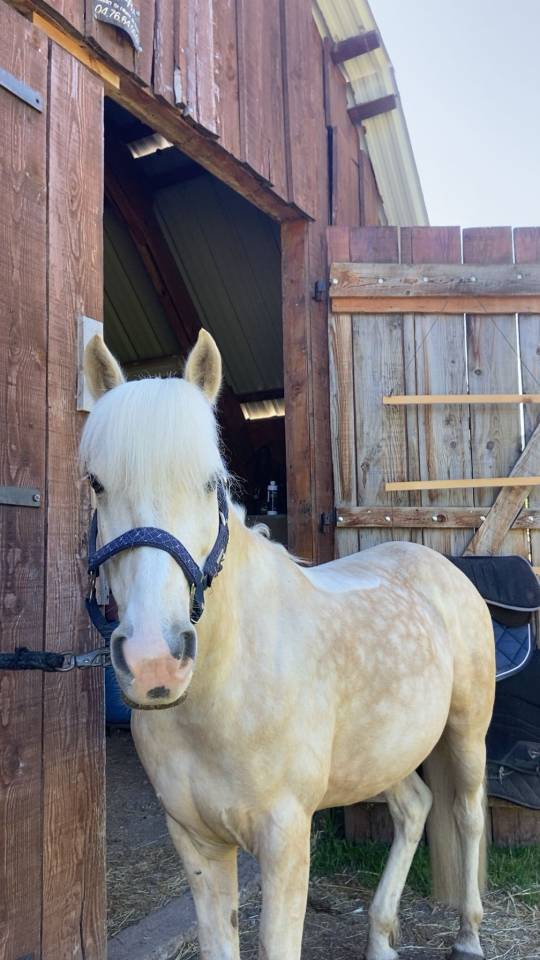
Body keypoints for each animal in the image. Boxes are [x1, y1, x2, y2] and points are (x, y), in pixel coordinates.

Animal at [81, 330, 495, 960]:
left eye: (213, 482)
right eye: (97, 484)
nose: (154, 661)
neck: (227, 690)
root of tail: (436, 563)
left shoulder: (285, 843)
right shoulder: (198, 845)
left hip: (468, 730)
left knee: (467, 814)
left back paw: (469, 934)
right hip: (385, 750)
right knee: (415, 809)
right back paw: (381, 937)